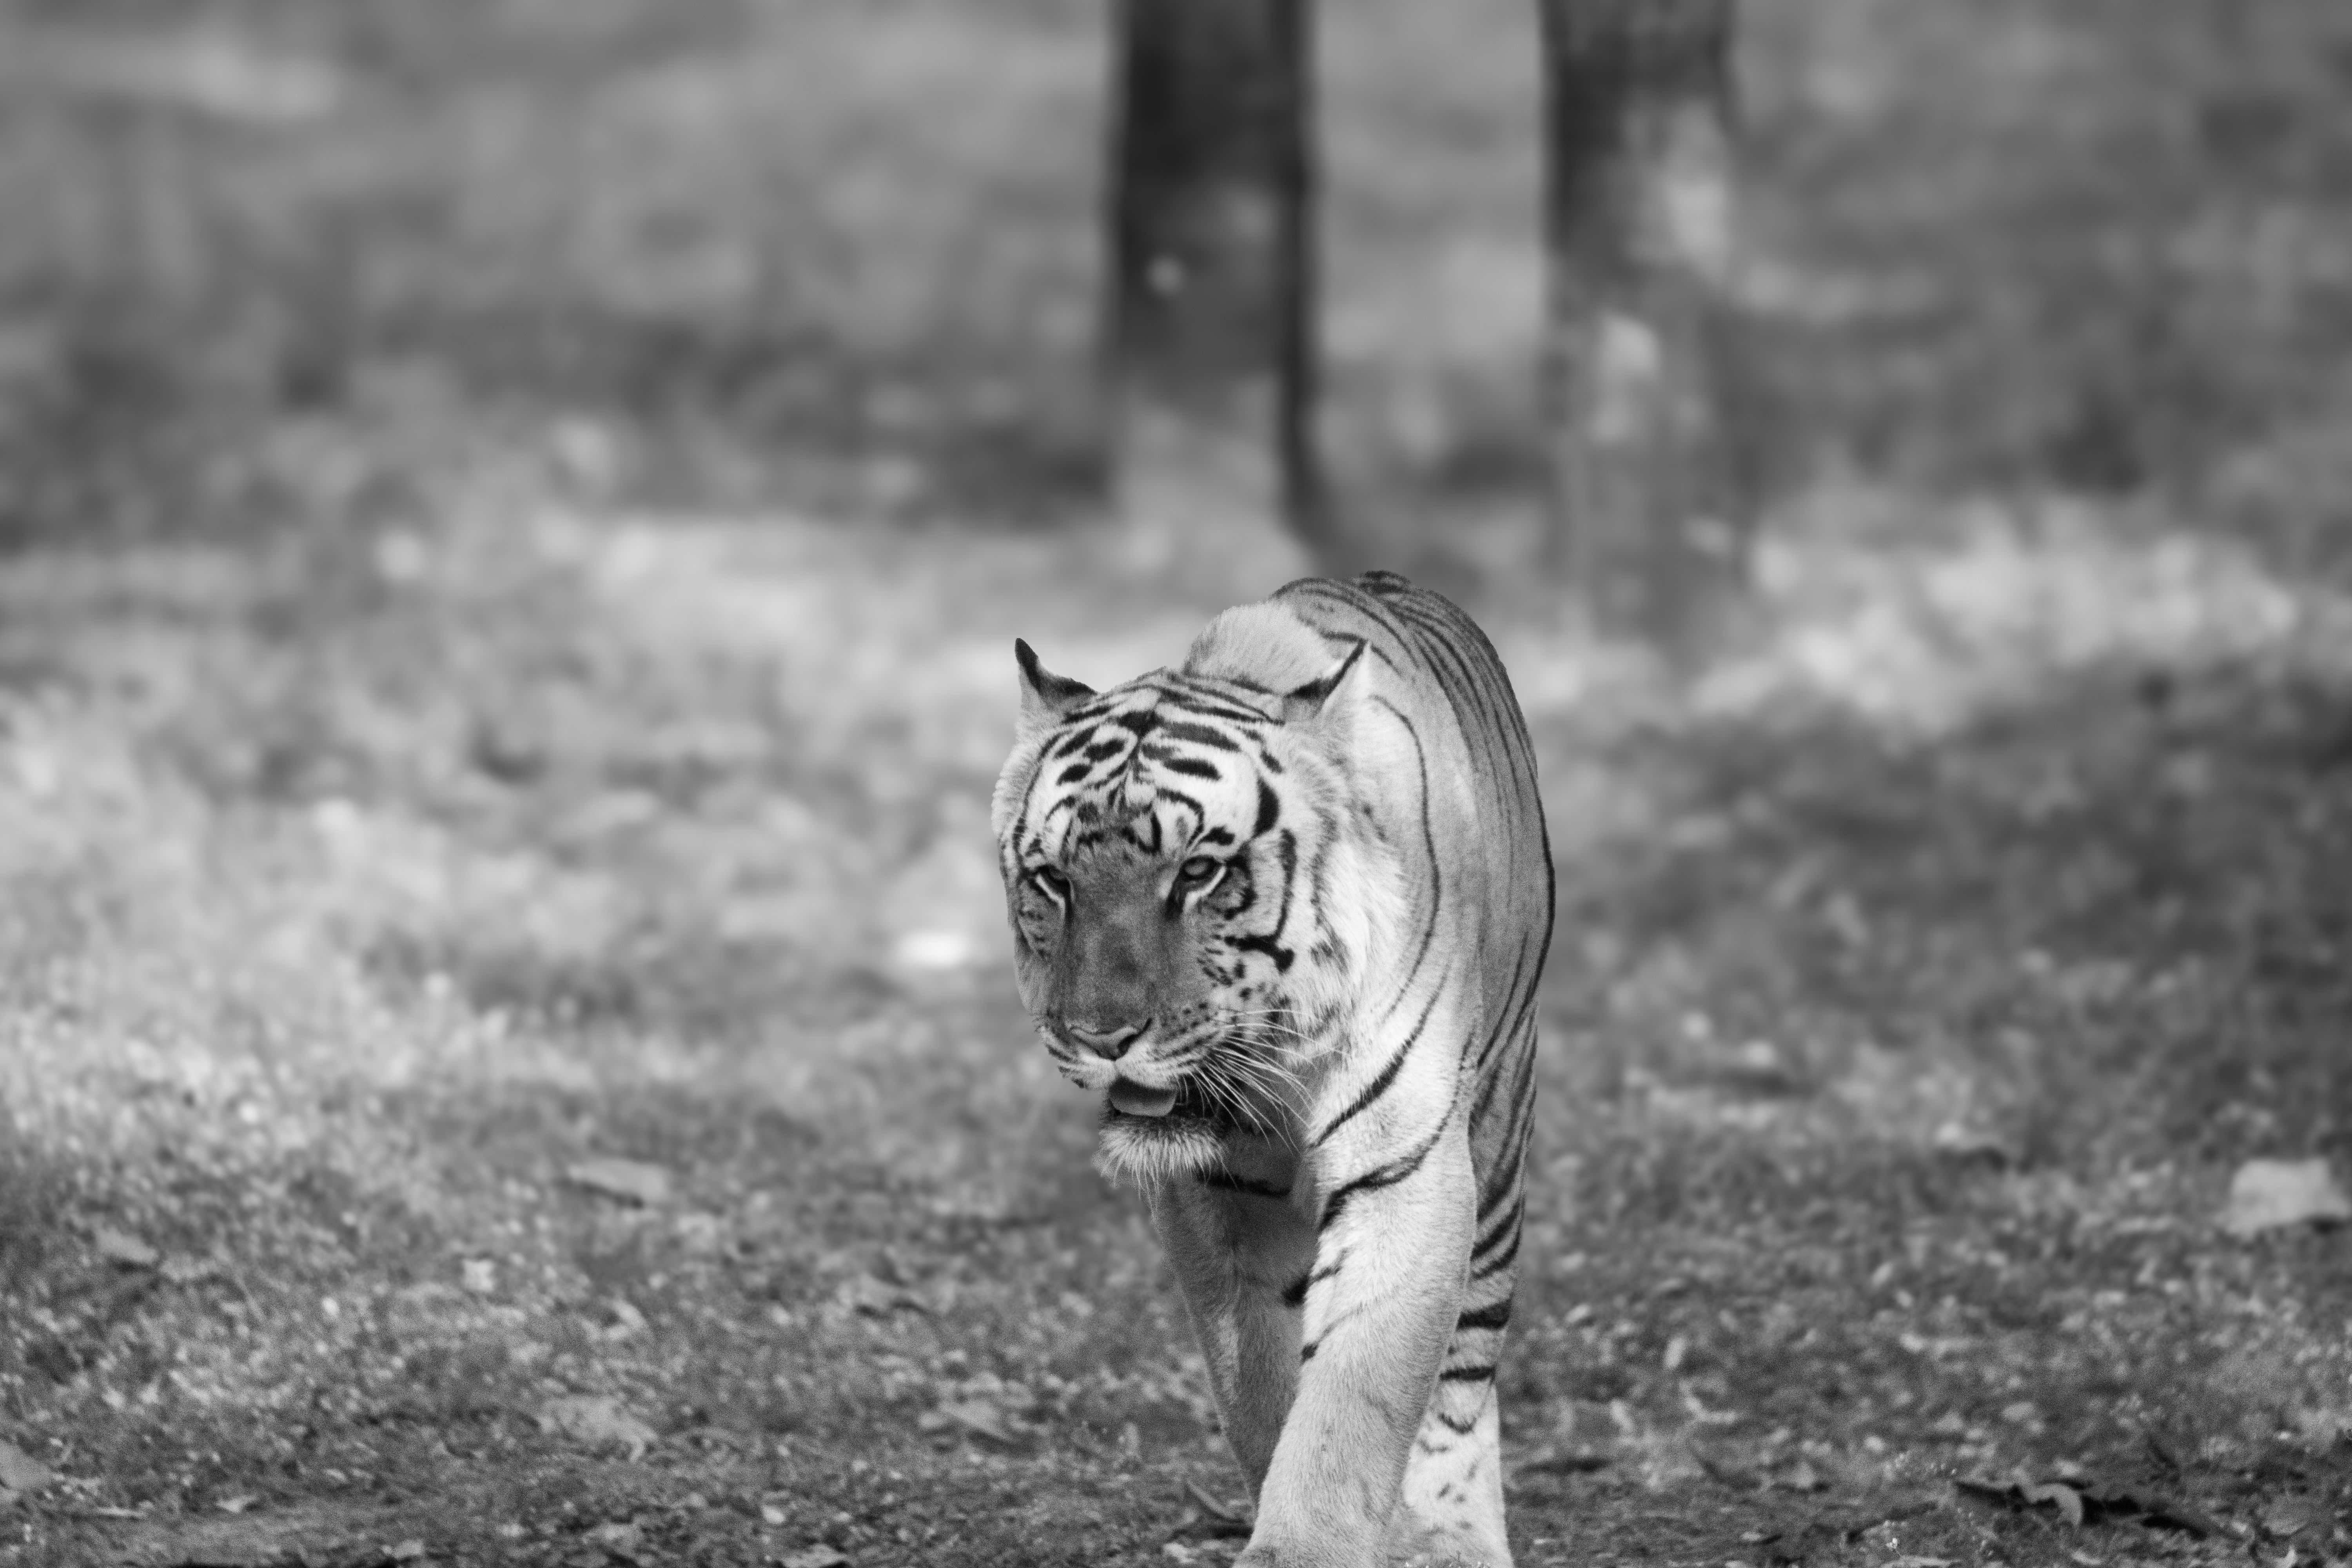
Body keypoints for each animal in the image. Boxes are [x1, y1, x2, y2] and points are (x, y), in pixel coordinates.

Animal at [992, 571, 1554, 1568]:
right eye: (1054, 879)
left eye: (1199, 873)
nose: (1100, 1034)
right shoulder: (1219, 1201)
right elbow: (1260, 1382)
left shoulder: (1403, 1172)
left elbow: (1354, 1399)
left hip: (1498, 1139)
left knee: (1465, 1371)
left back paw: (1452, 1535)